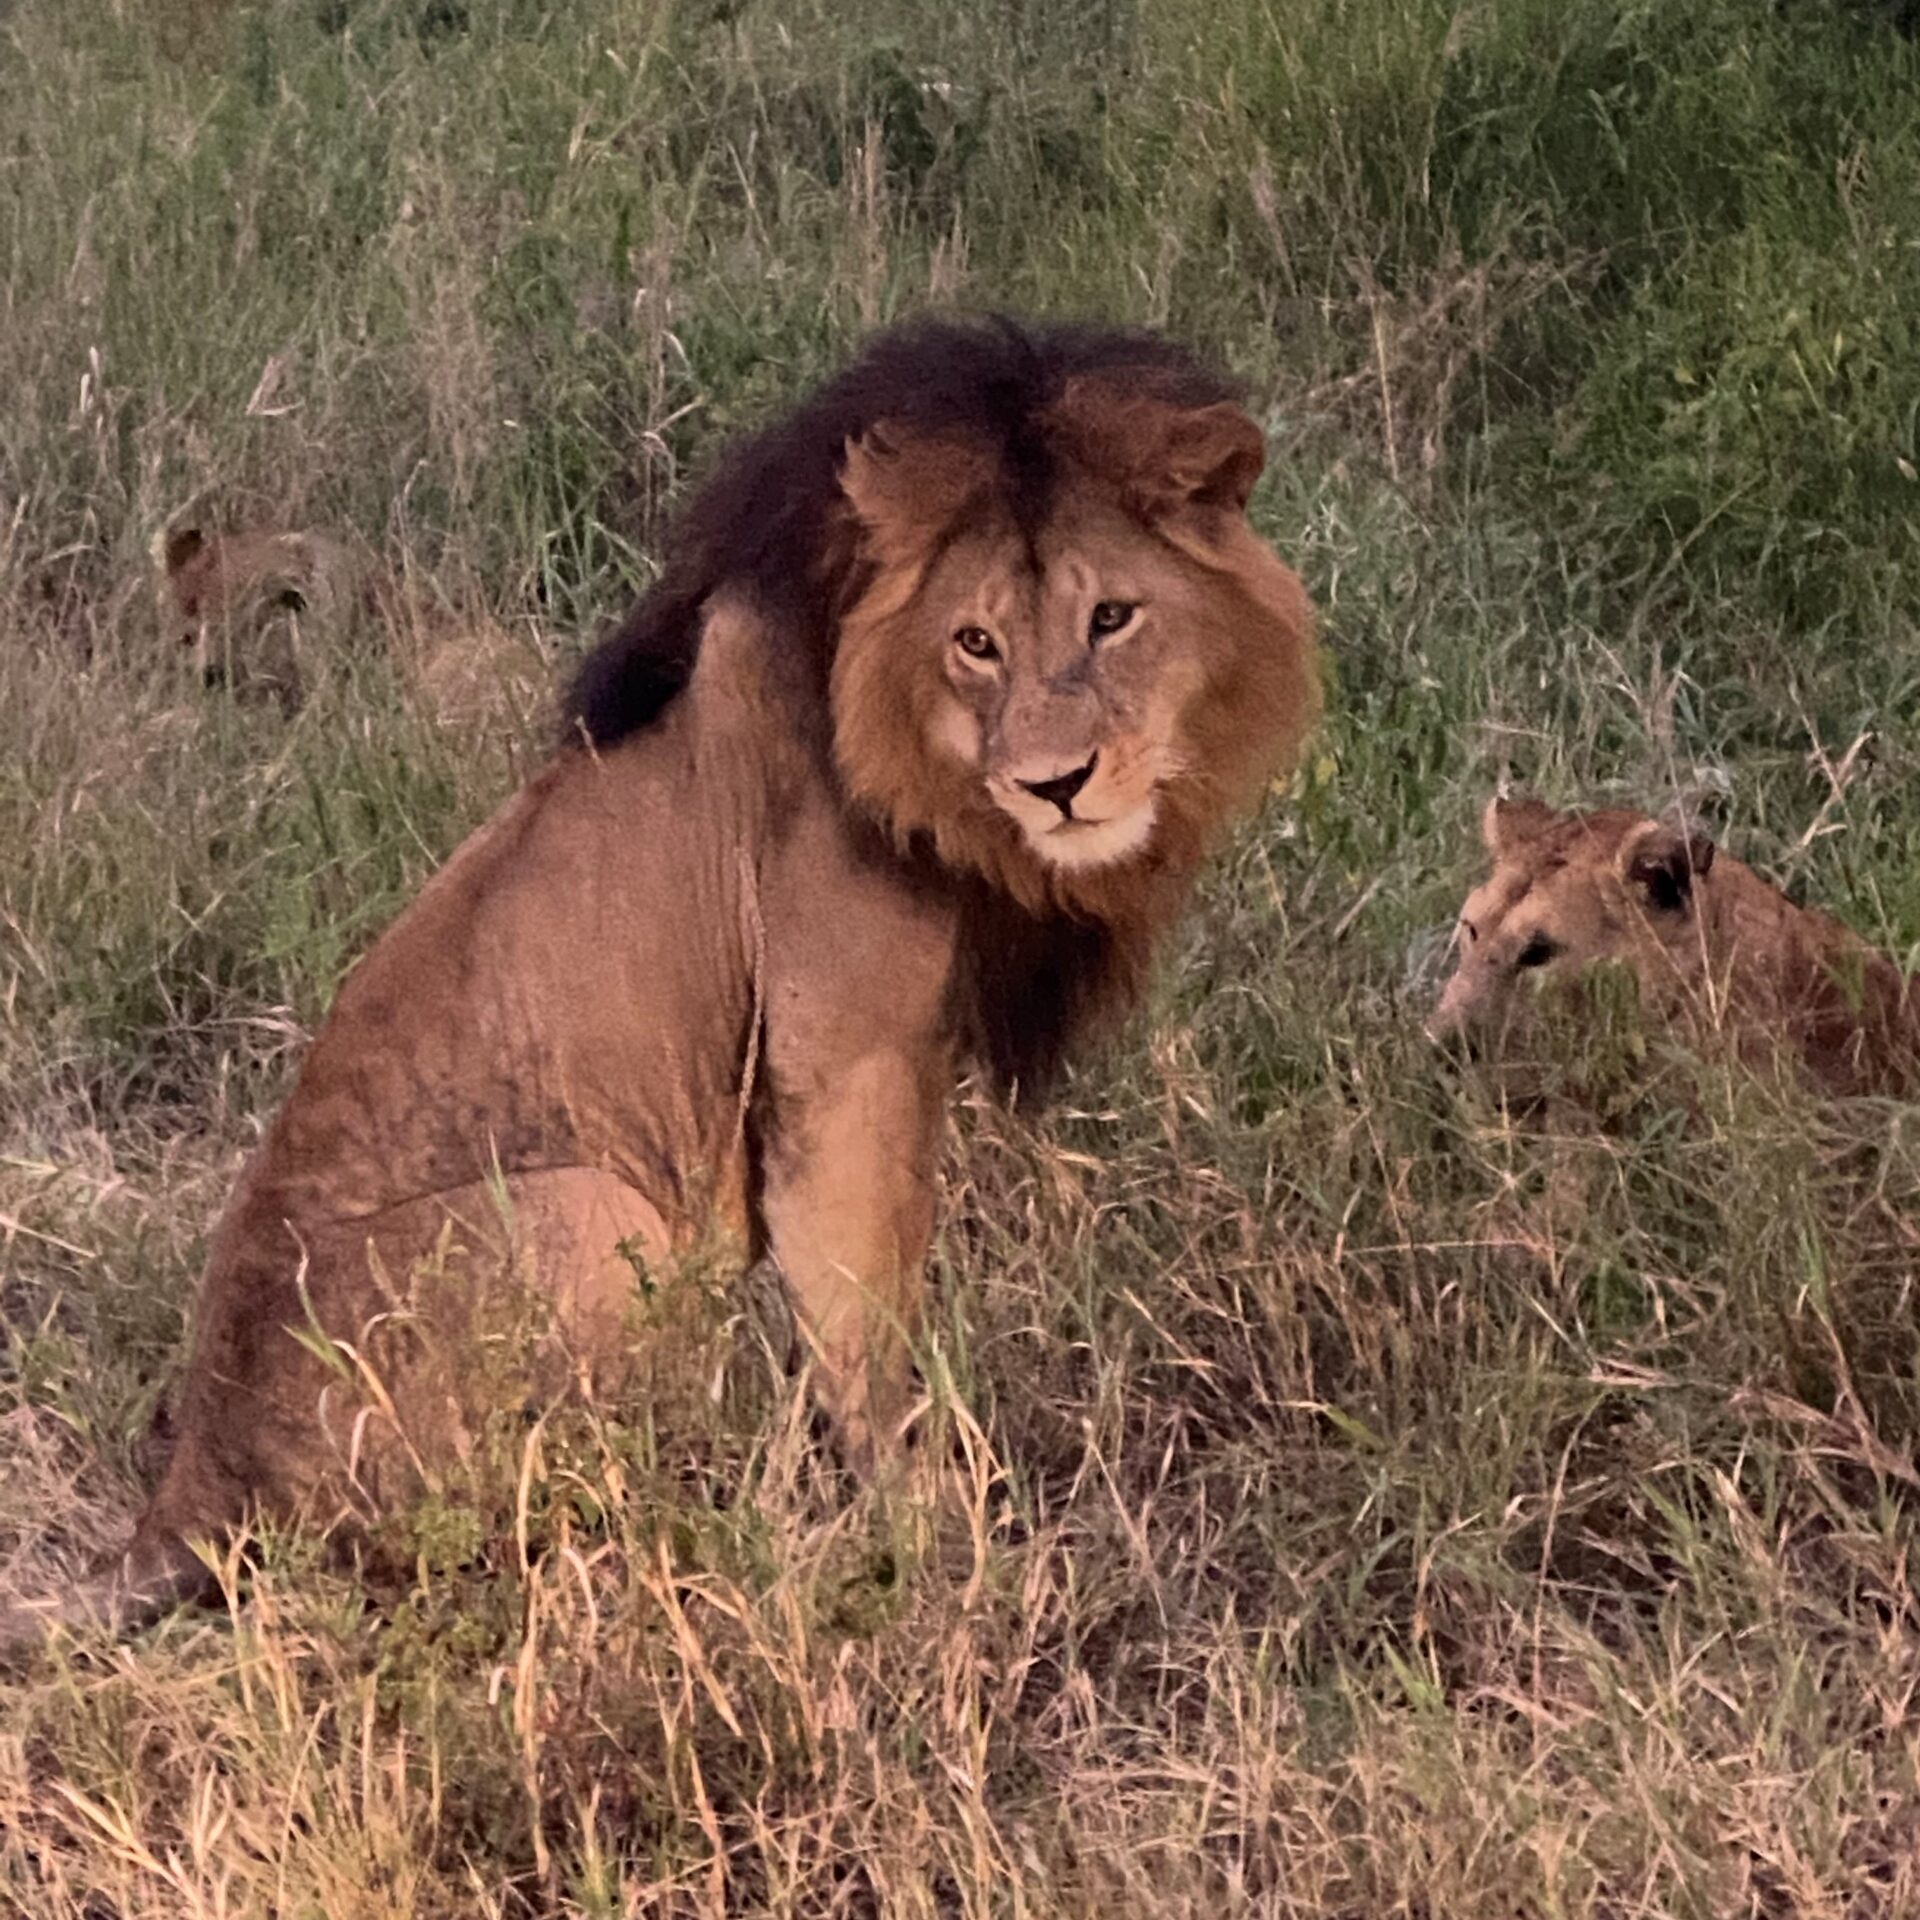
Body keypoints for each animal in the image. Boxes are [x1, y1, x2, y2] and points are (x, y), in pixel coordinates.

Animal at [4, 314, 1318, 1649]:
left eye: (1114, 617)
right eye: (978, 643)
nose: (1057, 785)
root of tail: (185, 1497)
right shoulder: (839, 1062)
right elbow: (865, 1320)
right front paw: (935, 1537)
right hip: (591, 1207)